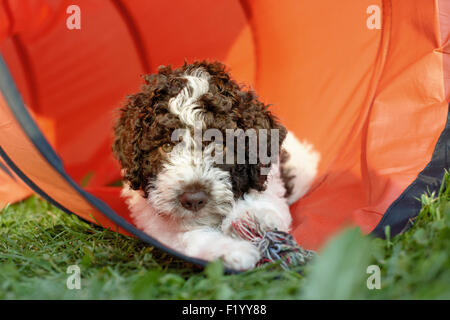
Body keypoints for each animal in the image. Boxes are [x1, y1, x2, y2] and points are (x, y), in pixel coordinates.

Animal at [114, 60, 322, 270]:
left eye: (221, 146)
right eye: (166, 146)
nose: (193, 199)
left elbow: (266, 202)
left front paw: (253, 218)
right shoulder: (154, 222)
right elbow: (186, 236)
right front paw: (232, 251)